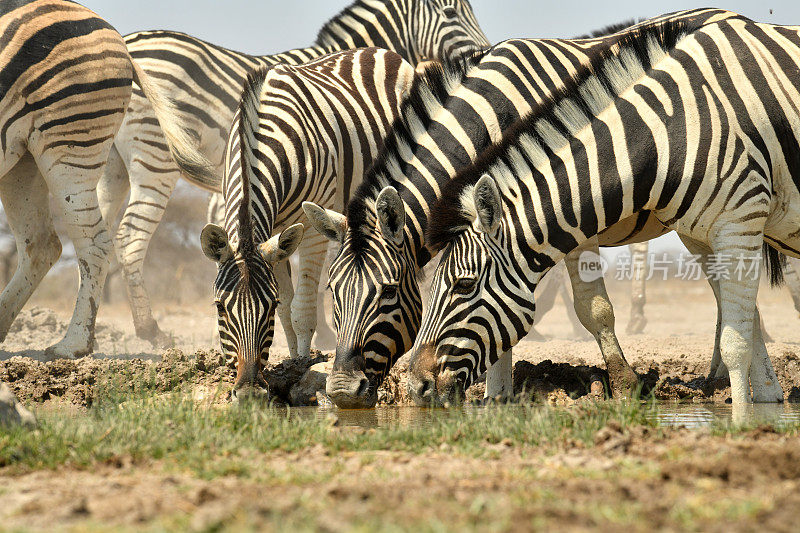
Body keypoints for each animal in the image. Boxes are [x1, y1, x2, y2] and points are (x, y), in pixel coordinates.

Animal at [98, 0, 488, 344]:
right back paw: (149, 331)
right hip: (155, 156)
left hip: (109, 163)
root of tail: (127, 45)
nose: (483, 54)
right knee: (129, 237)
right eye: (450, 12)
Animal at [198, 48, 418, 400]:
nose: (248, 394)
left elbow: (299, 307)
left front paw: (302, 366)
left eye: (267, 307)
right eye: (220, 308)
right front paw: (289, 363)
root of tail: (377, 51)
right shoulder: (275, 236)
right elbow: (288, 306)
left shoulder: (313, 223)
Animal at [304, 8, 740, 406]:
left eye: (389, 292)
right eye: (332, 291)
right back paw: (718, 375)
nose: (341, 393)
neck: (492, 122)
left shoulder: (569, 211)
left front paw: (624, 386)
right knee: (720, 283)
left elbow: (591, 308)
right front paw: (496, 396)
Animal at [410, 16, 800, 406]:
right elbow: (743, 318)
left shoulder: (738, 220)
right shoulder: (710, 230)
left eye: (464, 285)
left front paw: (626, 384)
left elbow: (595, 309)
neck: (669, 132)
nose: (416, 386)